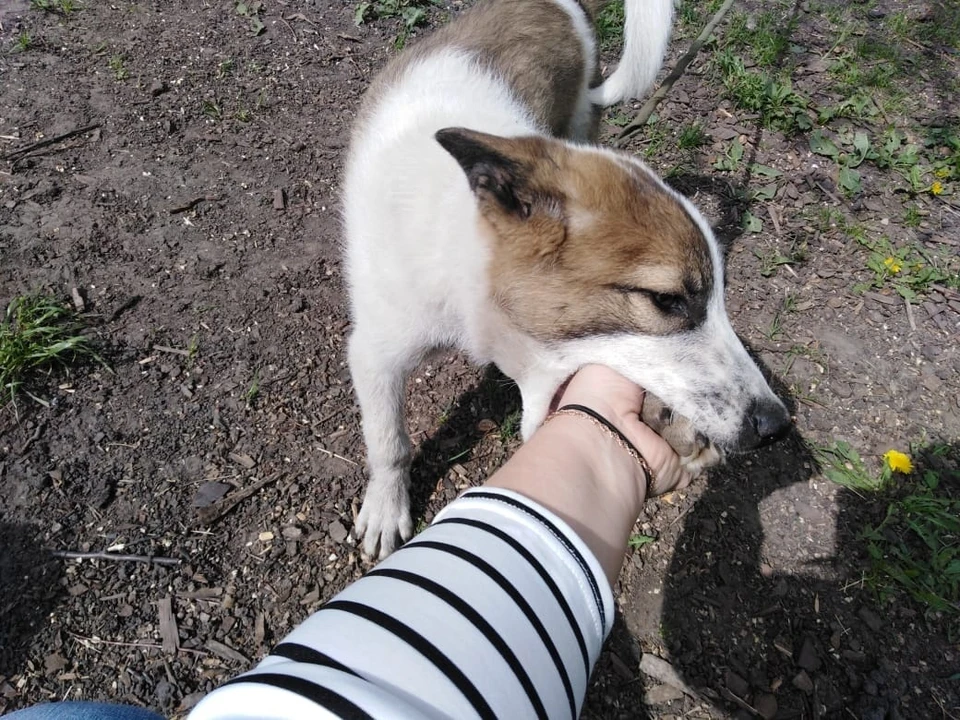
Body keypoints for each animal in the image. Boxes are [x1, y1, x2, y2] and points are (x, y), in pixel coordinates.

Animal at [342, 0, 792, 556]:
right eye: (666, 300)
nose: (776, 425)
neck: (460, 243)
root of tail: (557, 4)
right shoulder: (375, 352)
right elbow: (389, 442)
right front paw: (386, 507)